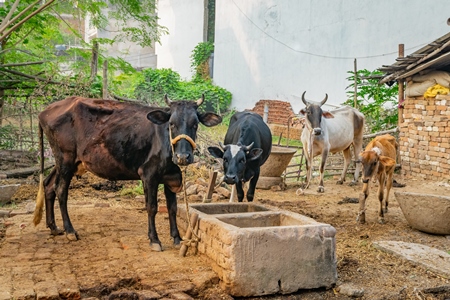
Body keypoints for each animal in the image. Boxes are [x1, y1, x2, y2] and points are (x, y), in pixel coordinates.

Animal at [32, 94, 222, 251]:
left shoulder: (171, 177)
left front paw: (177, 238)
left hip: (64, 162)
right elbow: (151, 207)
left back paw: (54, 227)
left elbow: (172, 208)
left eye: (195, 124)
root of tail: (44, 112)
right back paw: (70, 231)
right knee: (60, 190)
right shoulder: (149, 175)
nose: (183, 157)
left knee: (49, 186)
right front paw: (154, 240)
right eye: (171, 124)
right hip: (66, 159)